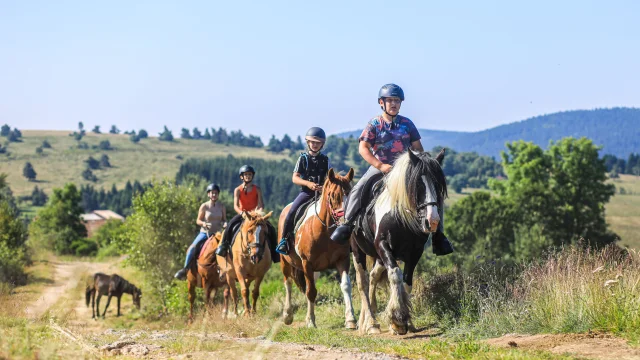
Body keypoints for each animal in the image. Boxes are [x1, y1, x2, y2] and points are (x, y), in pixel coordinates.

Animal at [278, 169, 356, 330]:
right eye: (332, 195)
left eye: (351, 193)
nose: (346, 223)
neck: (325, 232)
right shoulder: (307, 263)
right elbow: (311, 292)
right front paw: (311, 322)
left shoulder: (342, 259)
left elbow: (346, 286)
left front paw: (351, 319)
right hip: (285, 262)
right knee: (288, 283)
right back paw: (288, 315)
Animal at [350, 149, 444, 334]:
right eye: (417, 184)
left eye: (438, 185)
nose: (432, 221)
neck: (399, 215)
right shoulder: (383, 245)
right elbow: (395, 275)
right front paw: (397, 319)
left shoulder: (415, 252)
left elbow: (407, 282)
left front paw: (408, 321)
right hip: (358, 252)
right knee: (362, 282)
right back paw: (370, 323)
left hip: (379, 258)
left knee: (373, 277)